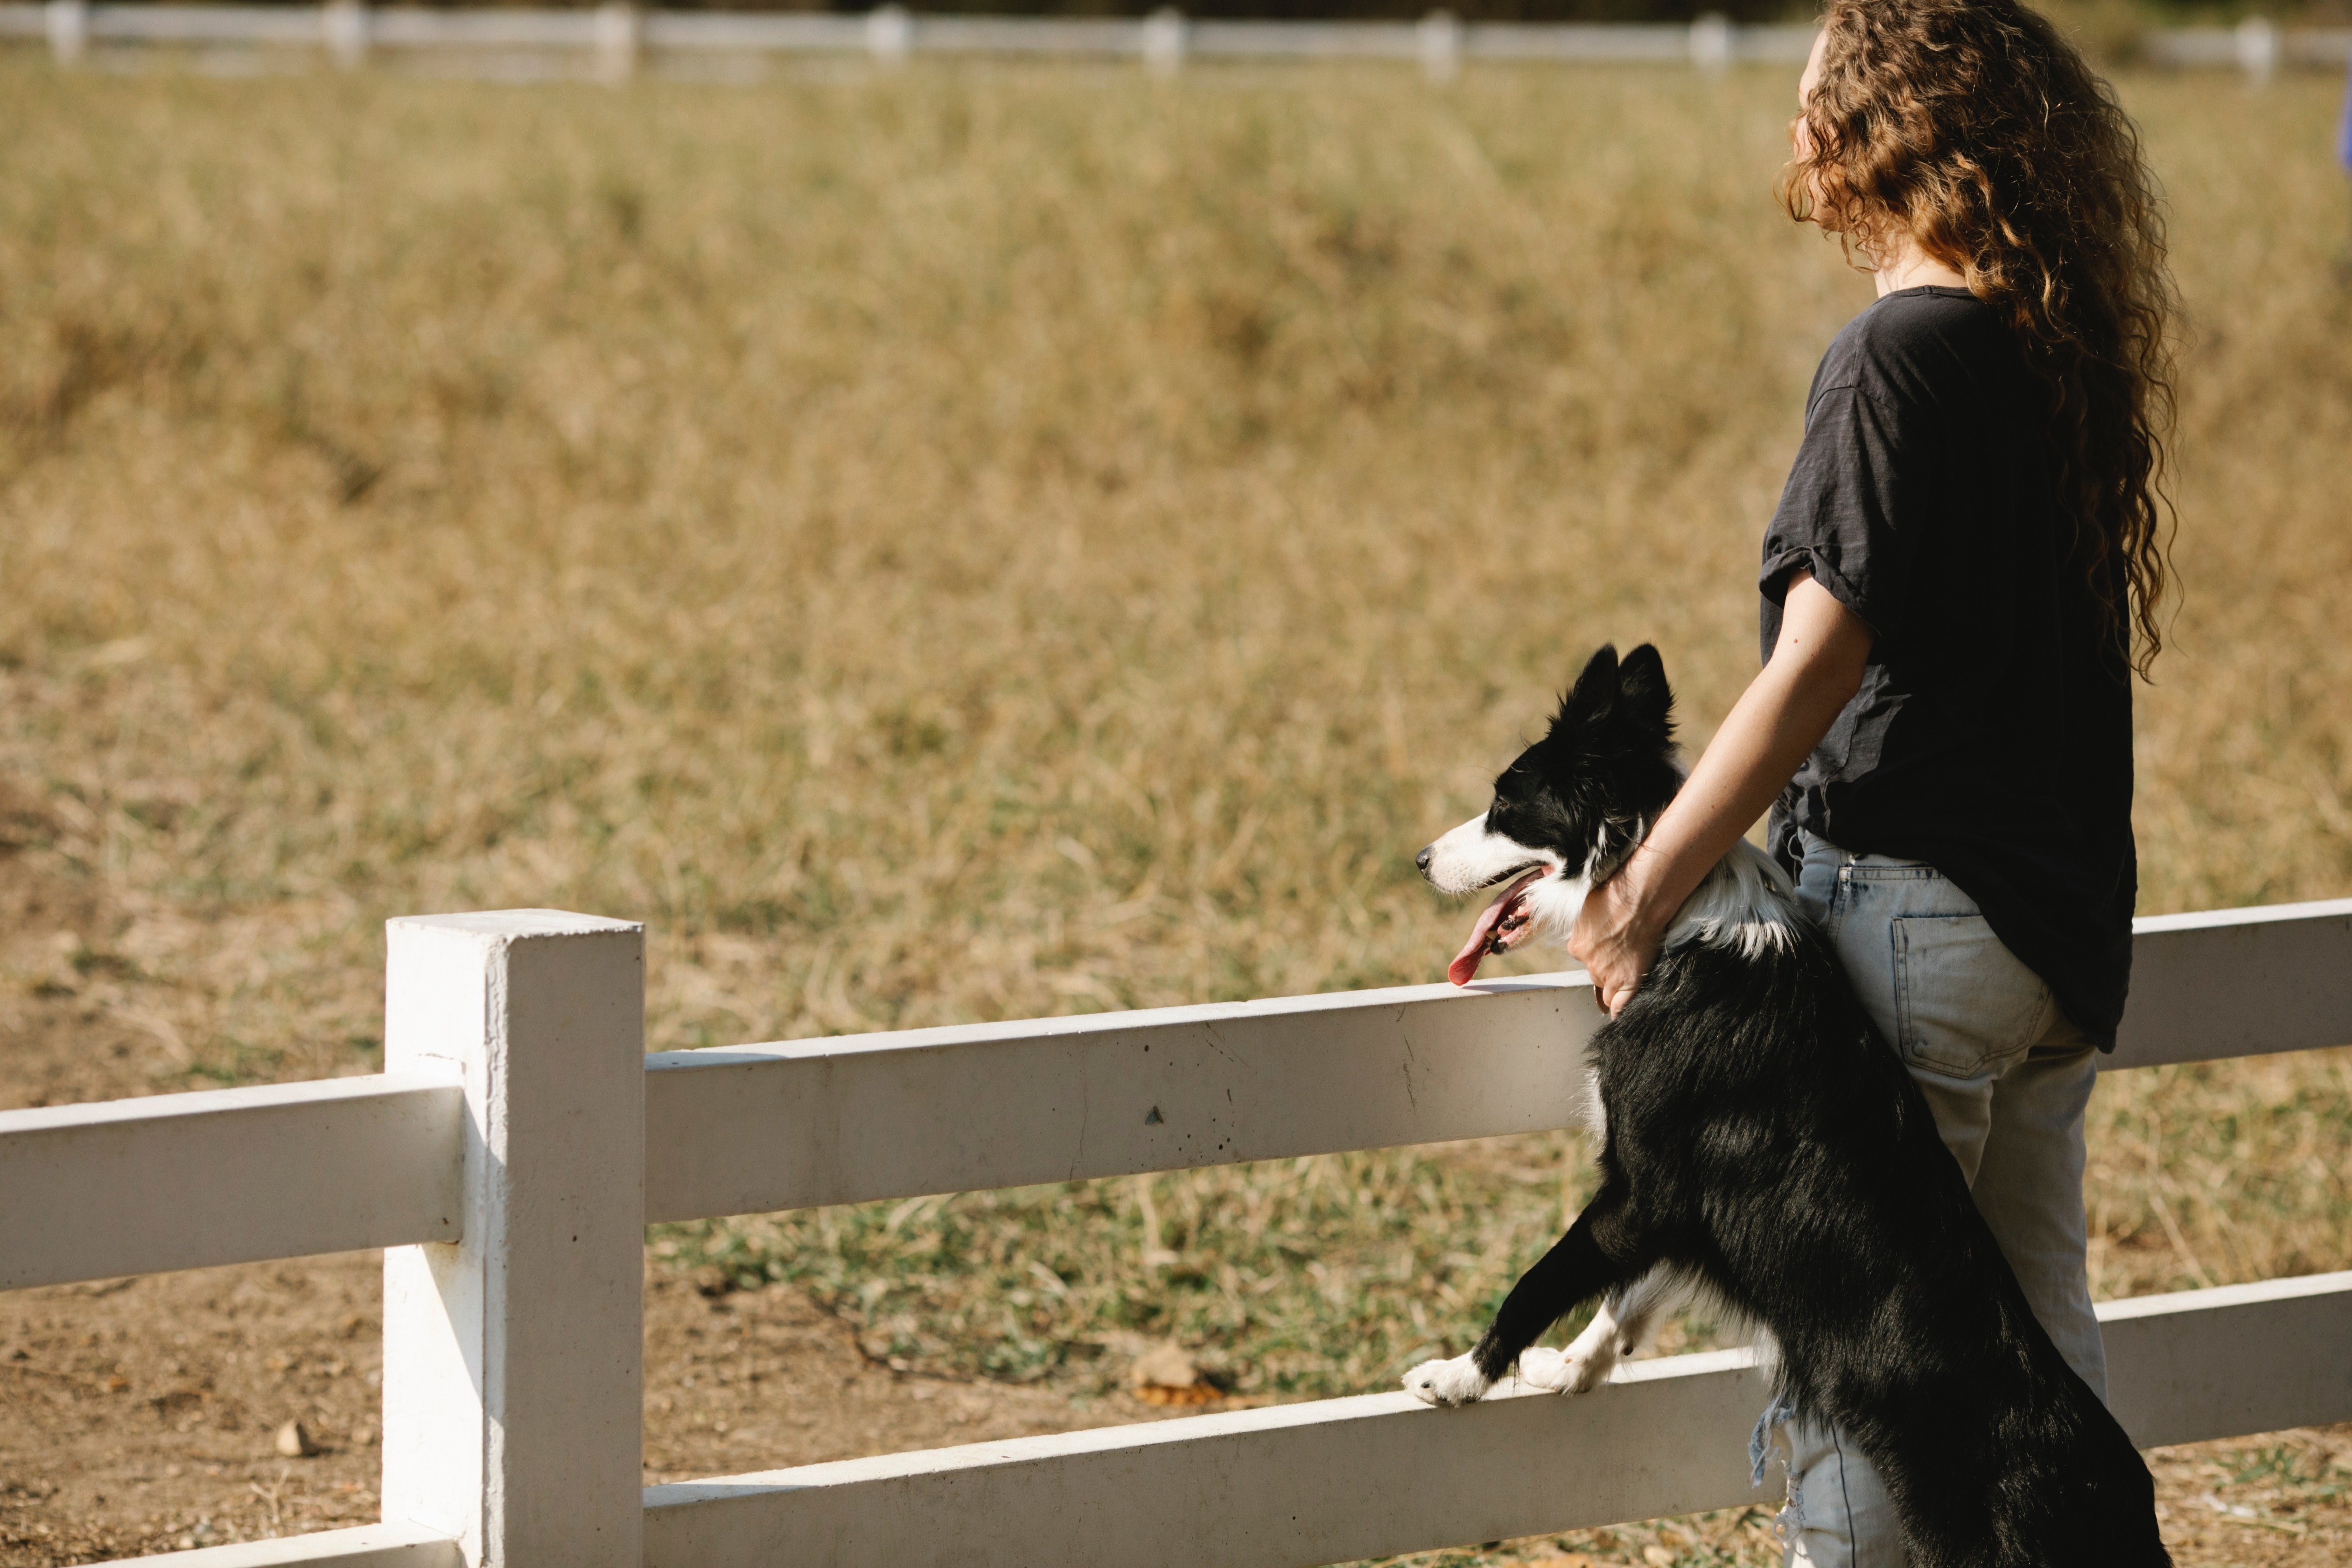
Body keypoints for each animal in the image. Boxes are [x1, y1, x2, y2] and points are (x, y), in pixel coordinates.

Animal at [1401, 639, 2154, 1568]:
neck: (1682, 919)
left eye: (1507, 802)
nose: (1420, 860)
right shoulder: (1684, 1206)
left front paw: (1460, 1376)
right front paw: (1572, 1369)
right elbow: (1630, 1298)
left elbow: (1543, 1280)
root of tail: (2112, 1492)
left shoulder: (1641, 1187)